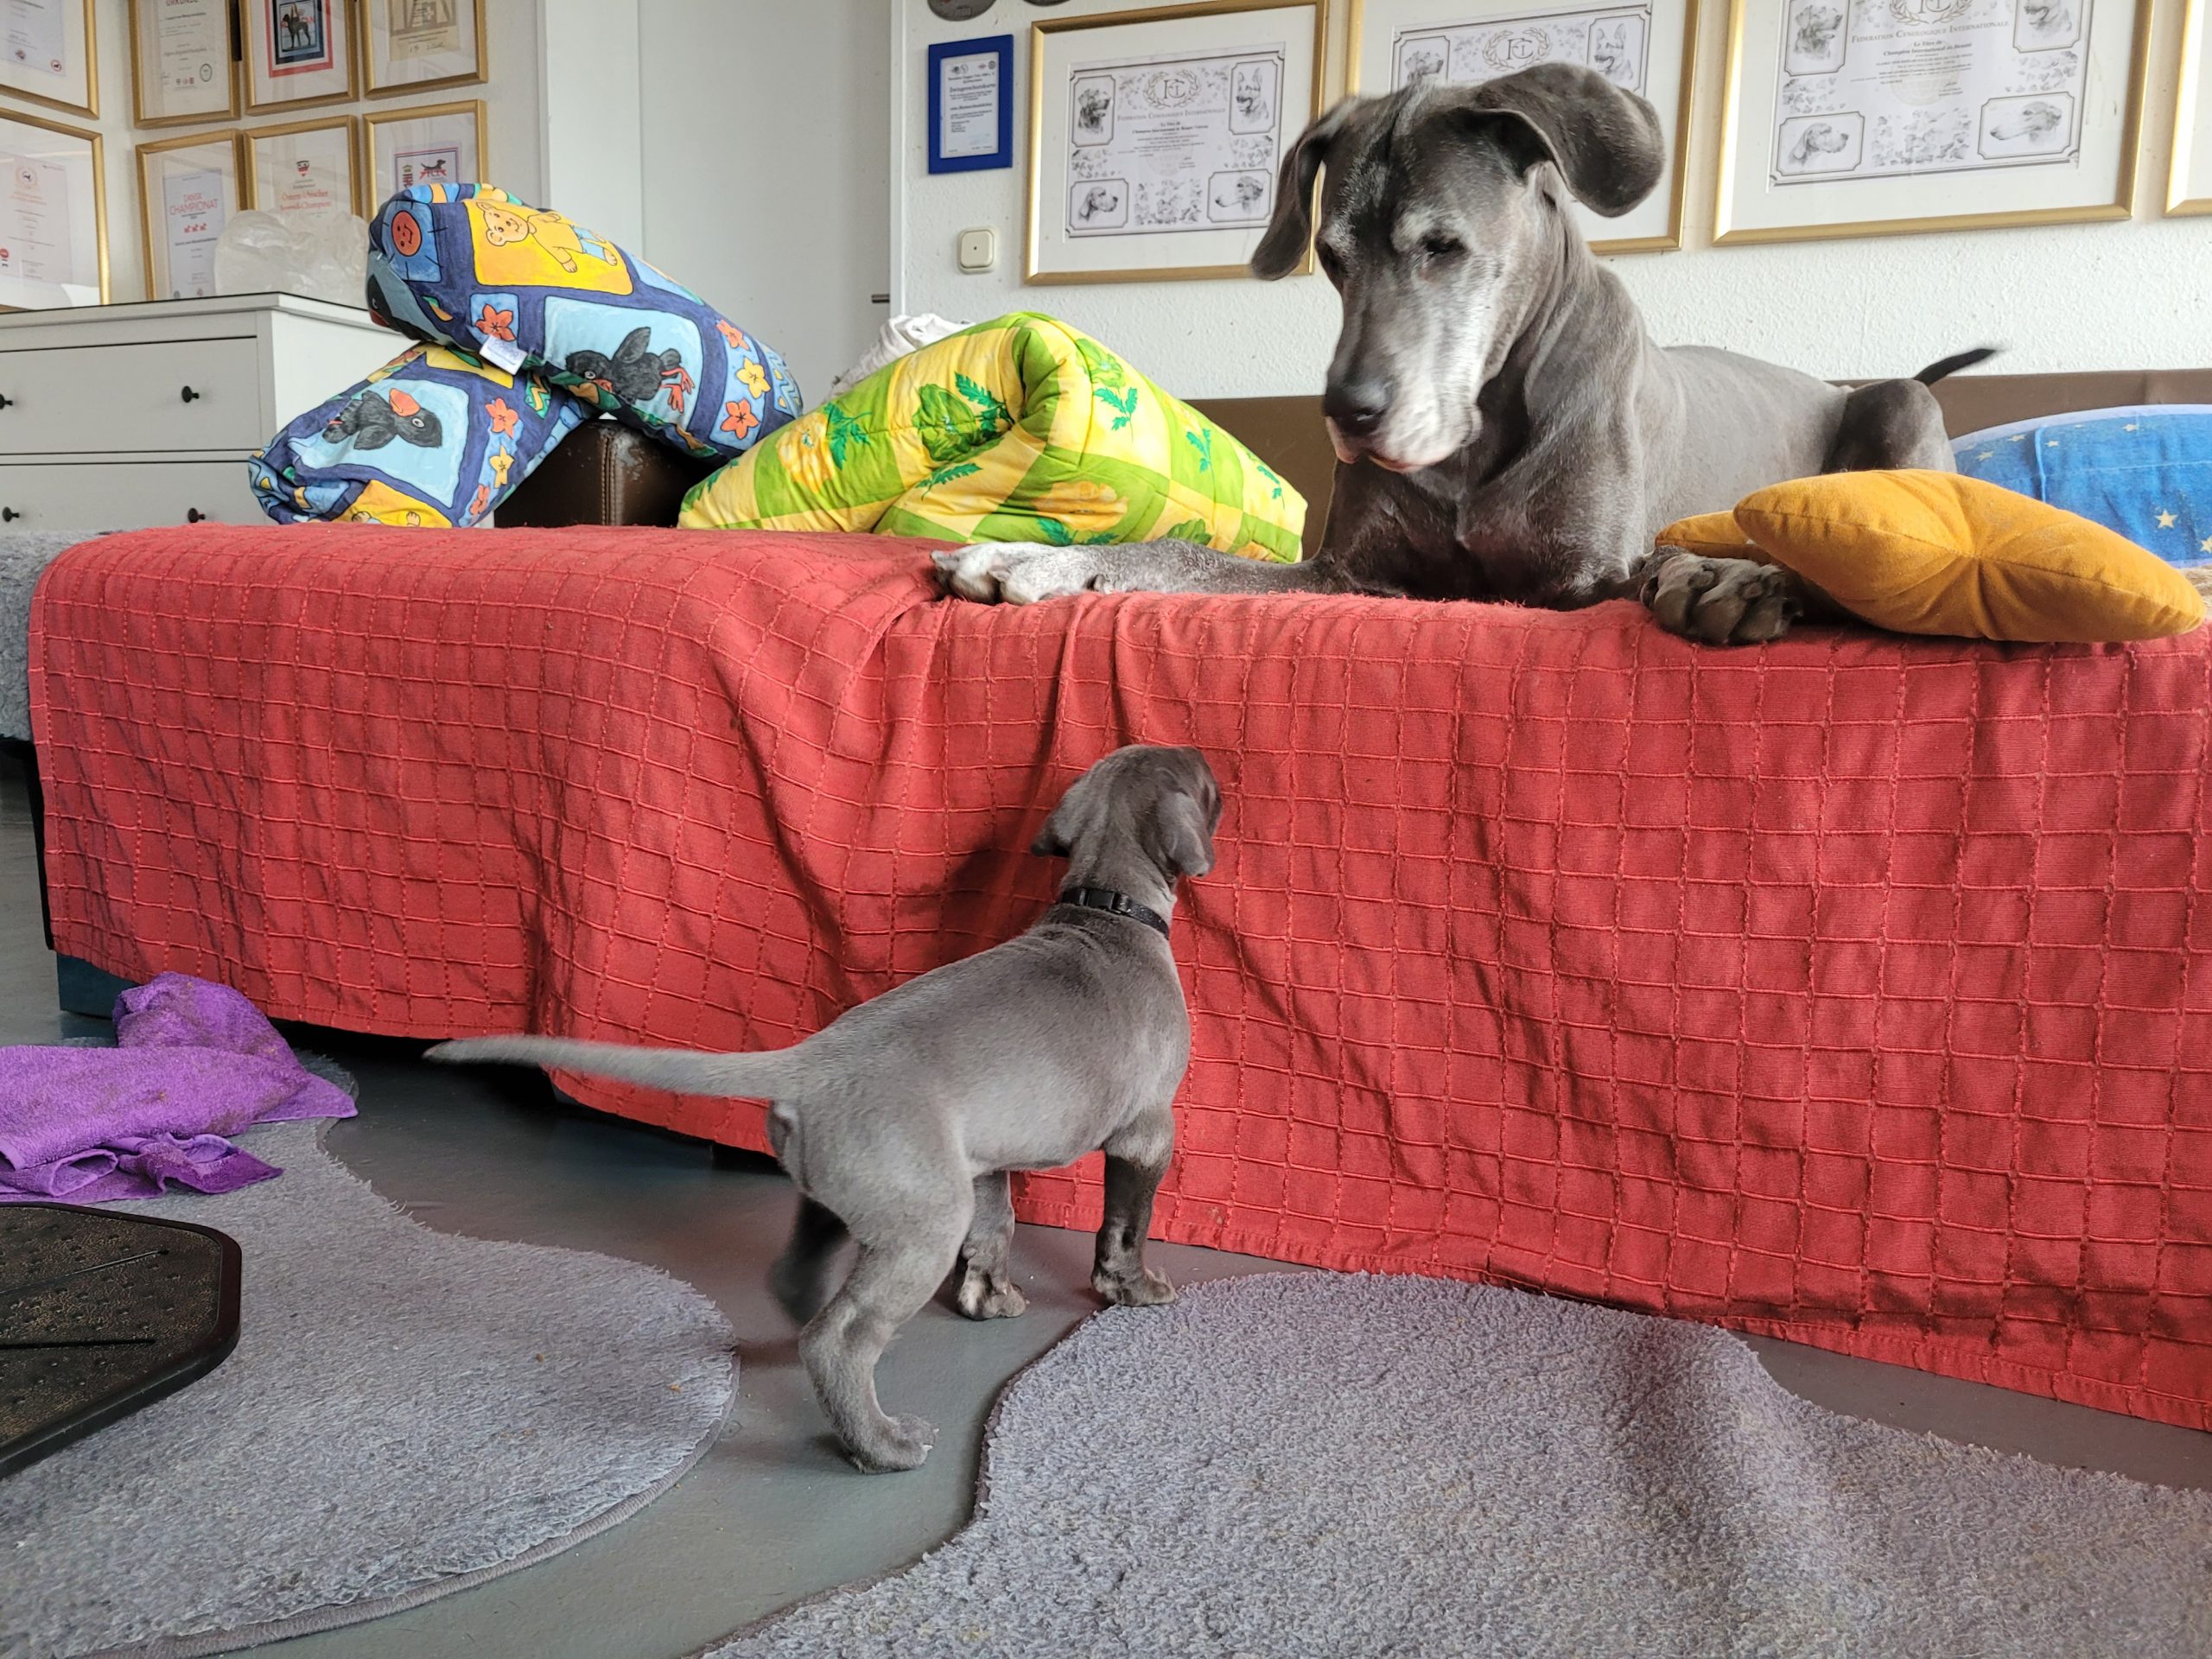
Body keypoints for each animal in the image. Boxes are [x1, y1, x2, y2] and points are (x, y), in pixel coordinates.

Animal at [428, 745, 1221, 1474]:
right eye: (1209, 781)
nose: (1226, 779)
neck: (1105, 905)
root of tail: (813, 1062)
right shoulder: (1147, 1132)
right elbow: (1124, 1224)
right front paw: (1133, 1288)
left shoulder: (986, 1156)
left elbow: (996, 1231)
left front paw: (988, 1300)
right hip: (925, 1226)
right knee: (840, 1340)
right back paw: (882, 1444)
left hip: (868, 1196)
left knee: (804, 1287)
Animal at [936, 64, 1993, 646]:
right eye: (1331, 257)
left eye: (1442, 245)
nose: (1351, 415)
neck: (1481, 426)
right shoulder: (1347, 578)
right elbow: (1184, 554)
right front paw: (1039, 556)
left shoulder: (1581, 581)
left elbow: (1654, 560)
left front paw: (1720, 576)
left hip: (1900, 404)